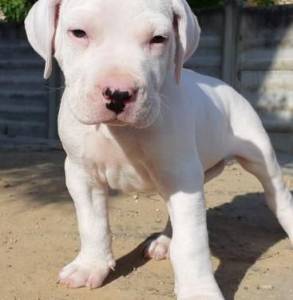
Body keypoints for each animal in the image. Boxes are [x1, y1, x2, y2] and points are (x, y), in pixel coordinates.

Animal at [24, 0, 292, 300]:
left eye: (158, 39)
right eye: (79, 33)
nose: (119, 93)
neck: (120, 133)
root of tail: (225, 86)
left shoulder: (182, 177)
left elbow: (192, 243)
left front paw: (199, 291)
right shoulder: (82, 174)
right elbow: (92, 224)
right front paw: (90, 265)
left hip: (259, 156)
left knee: (277, 196)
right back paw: (165, 241)